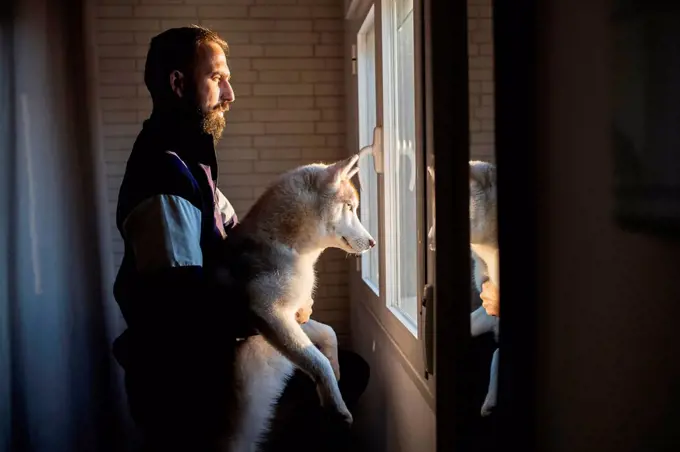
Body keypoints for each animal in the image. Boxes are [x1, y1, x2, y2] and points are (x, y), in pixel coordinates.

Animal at [222, 153, 374, 452]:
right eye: (350, 207)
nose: (373, 242)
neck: (288, 246)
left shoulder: (293, 317)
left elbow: (328, 334)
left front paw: (336, 368)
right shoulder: (268, 313)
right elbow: (317, 361)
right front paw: (336, 405)